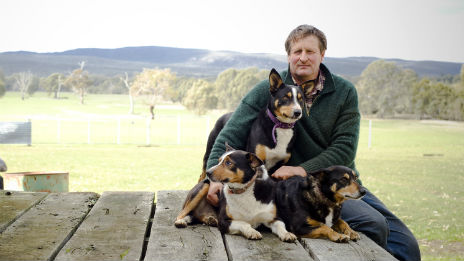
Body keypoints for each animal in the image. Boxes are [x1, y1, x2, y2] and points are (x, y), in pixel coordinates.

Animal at [176, 146, 364, 242]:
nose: (208, 172)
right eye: (220, 161)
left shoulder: (274, 219)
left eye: (228, 163)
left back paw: (208, 218)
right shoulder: (226, 222)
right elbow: (244, 224)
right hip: (203, 188)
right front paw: (252, 232)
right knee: (183, 212)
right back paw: (182, 221)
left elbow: (339, 222)